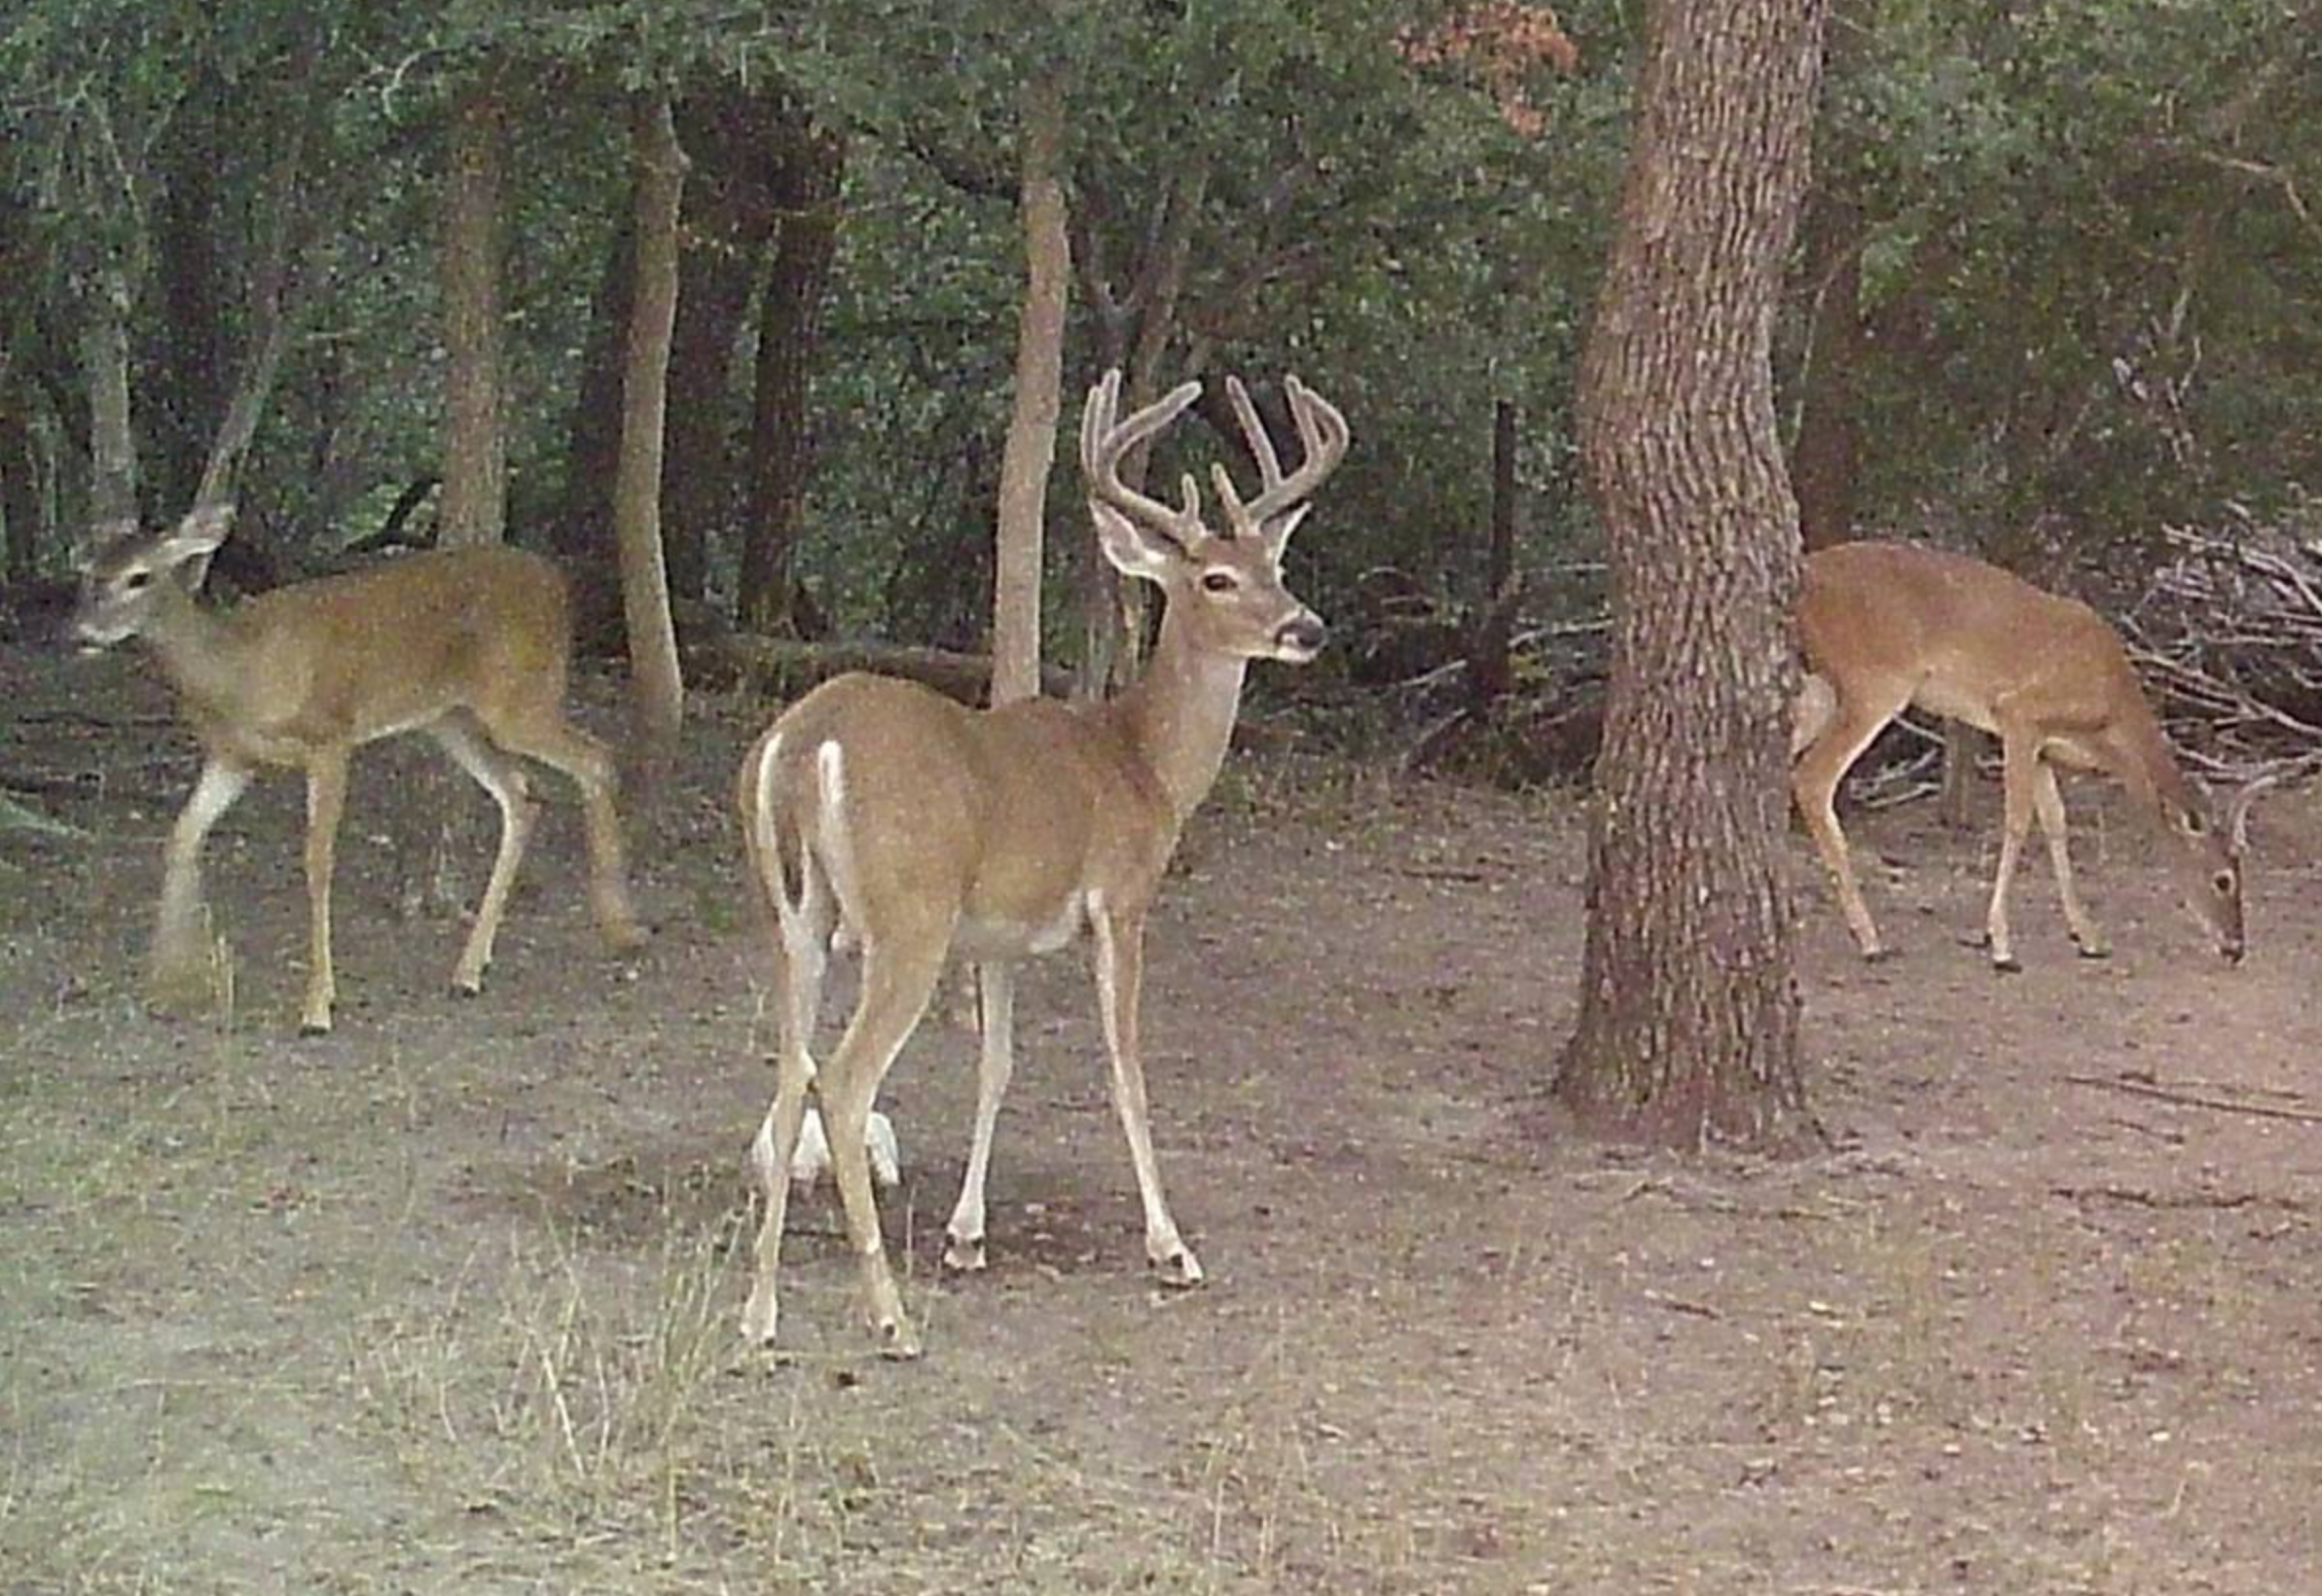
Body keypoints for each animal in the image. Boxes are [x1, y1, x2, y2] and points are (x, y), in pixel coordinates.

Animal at [73, 502, 649, 1034]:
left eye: (139, 576)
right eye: (91, 572)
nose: (81, 630)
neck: (239, 673)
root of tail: (556, 582)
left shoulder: (330, 739)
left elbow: (317, 861)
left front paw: (317, 1007)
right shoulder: (232, 757)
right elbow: (182, 837)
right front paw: (168, 984)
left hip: (520, 699)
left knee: (596, 759)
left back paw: (621, 928)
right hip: (451, 719)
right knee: (522, 793)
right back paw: (469, 970)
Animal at [735, 368, 1347, 1358]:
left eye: (1278, 567)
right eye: (1217, 577)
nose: (1309, 627)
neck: (1143, 766)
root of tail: (803, 742)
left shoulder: (997, 938)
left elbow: (998, 1067)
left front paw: (967, 1235)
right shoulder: (1121, 901)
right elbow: (1125, 1065)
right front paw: (1172, 1248)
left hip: (796, 914)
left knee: (792, 1069)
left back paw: (760, 1312)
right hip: (908, 917)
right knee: (845, 1078)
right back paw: (890, 1317)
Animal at [1790, 539, 2256, 971]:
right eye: (2223, 880)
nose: (2236, 948)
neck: (2108, 716)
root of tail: (1807, 574)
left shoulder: (2045, 748)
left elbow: (2056, 823)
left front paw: (2088, 935)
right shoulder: (2018, 714)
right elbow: (2017, 821)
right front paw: (2000, 943)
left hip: (1824, 686)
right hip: (1875, 681)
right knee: (1812, 778)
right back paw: (1870, 939)